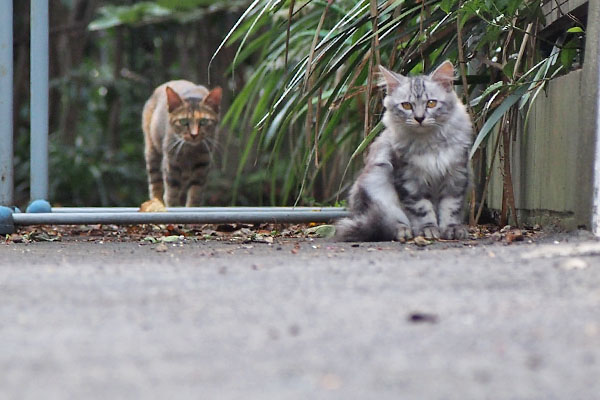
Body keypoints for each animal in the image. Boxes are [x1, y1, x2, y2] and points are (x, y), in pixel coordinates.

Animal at [142, 80, 221, 208]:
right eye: (183, 121)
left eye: (204, 121)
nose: (194, 135)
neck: (190, 151)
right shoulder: (171, 162)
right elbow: (171, 191)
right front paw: (172, 205)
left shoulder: (203, 163)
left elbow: (195, 192)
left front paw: (192, 206)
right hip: (152, 151)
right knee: (155, 183)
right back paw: (157, 202)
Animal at [338, 59, 474, 241]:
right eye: (407, 105)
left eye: (431, 103)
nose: (419, 118)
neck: (430, 143)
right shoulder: (409, 180)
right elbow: (422, 210)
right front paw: (428, 229)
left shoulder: (456, 176)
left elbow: (450, 208)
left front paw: (451, 229)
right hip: (379, 187)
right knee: (390, 222)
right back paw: (403, 231)